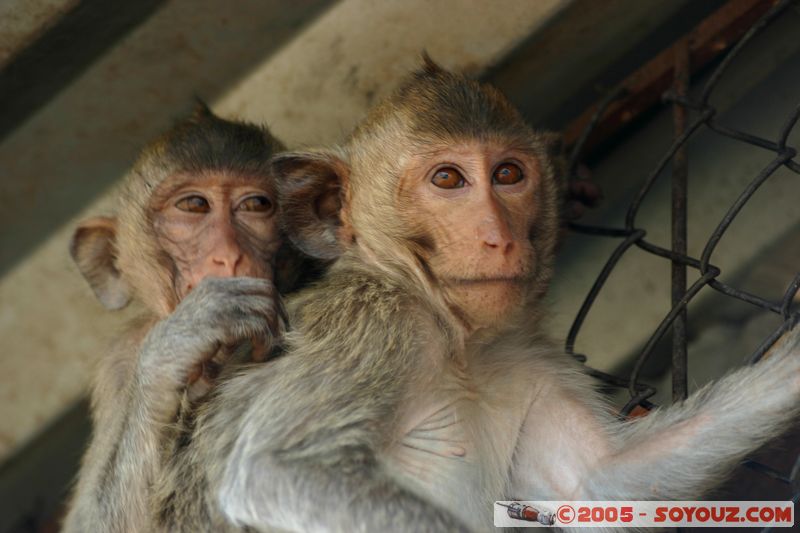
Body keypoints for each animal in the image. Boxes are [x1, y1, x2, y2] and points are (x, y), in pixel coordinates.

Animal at [137, 60, 800, 532]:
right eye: (449, 179)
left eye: (508, 175)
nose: (498, 236)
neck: (453, 338)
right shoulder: (372, 321)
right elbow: (279, 471)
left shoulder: (523, 354)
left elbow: (599, 481)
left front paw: (792, 364)